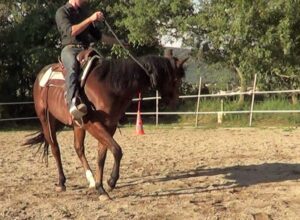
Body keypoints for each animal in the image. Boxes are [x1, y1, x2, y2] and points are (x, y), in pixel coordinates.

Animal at [24, 52, 188, 199]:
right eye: (175, 79)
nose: (175, 101)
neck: (110, 85)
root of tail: (42, 74)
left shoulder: (109, 126)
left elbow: (102, 155)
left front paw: (100, 186)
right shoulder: (93, 124)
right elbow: (116, 150)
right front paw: (110, 182)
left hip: (77, 125)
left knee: (78, 148)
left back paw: (90, 180)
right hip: (46, 119)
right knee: (55, 148)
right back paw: (61, 182)